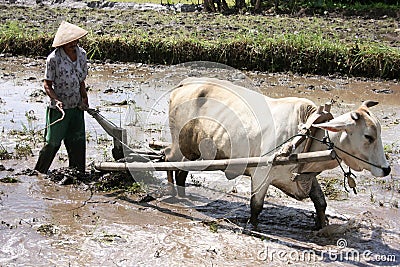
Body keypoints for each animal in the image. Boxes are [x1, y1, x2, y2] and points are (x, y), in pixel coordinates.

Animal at [165, 77, 390, 230]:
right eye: (368, 136)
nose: (387, 169)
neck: (308, 136)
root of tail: (185, 84)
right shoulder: (261, 175)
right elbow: (256, 206)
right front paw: (252, 226)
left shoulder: (306, 177)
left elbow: (321, 203)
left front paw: (322, 226)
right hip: (179, 145)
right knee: (167, 159)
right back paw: (172, 193)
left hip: (193, 152)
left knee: (181, 170)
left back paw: (182, 194)